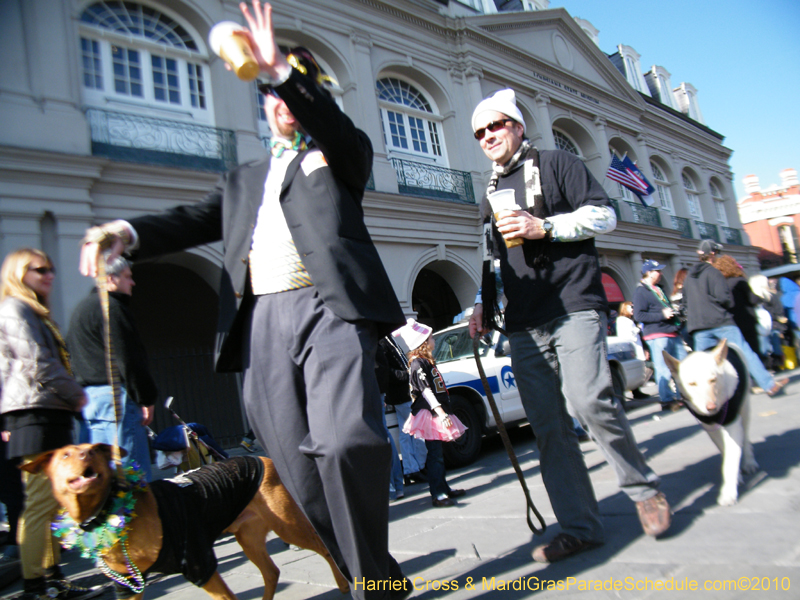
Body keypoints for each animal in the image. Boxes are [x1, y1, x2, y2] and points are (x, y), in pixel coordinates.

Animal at [24, 442, 350, 596]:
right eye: (65, 456)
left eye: (93, 451)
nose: (87, 459)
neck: (110, 510)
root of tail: (264, 459)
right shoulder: (126, 586)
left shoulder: (200, 565)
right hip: (248, 535)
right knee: (271, 572)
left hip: (288, 526)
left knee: (325, 547)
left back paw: (345, 583)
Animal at [664, 340, 756, 504]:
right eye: (692, 384)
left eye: (713, 380)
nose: (711, 408)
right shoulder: (710, 428)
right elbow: (725, 451)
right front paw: (736, 477)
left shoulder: (732, 424)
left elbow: (731, 457)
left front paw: (728, 493)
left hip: (745, 408)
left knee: (745, 436)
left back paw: (749, 462)